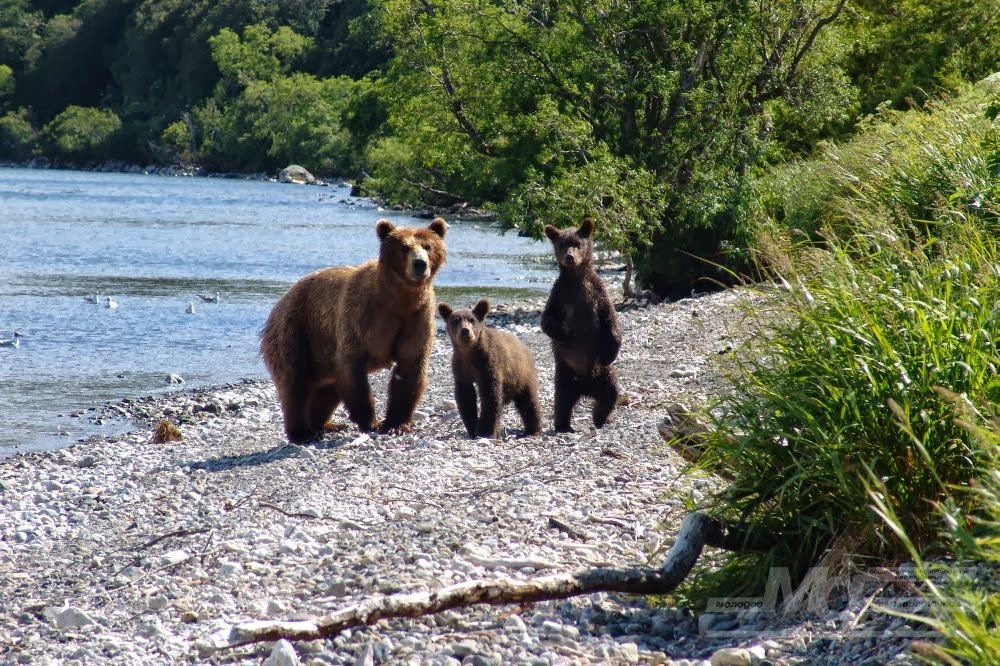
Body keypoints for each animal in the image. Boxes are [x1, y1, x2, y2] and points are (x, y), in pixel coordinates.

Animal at [260, 218, 448, 440]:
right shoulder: (362, 317)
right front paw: (371, 421)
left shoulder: (416, 316)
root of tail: (281, 300)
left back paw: (326, 425)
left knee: (325, 389)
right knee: (295, 381)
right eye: (404, 247)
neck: (397, 301)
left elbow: (410, 368)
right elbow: (352, 370)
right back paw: (301, 432)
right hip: (296, 330)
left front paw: (396, 424)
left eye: (428, 246)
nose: (420, 263)